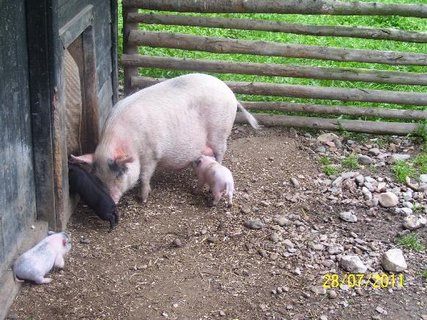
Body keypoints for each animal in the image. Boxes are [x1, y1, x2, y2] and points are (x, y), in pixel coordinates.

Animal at [72, 73, 258, 202]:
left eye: (119, 174)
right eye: (99, 178)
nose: (113, 200)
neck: (129, 142)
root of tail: (230, 93)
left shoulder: (151, 154)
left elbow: (144, 176)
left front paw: (143, 199)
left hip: (220, 133)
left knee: (220, 153)